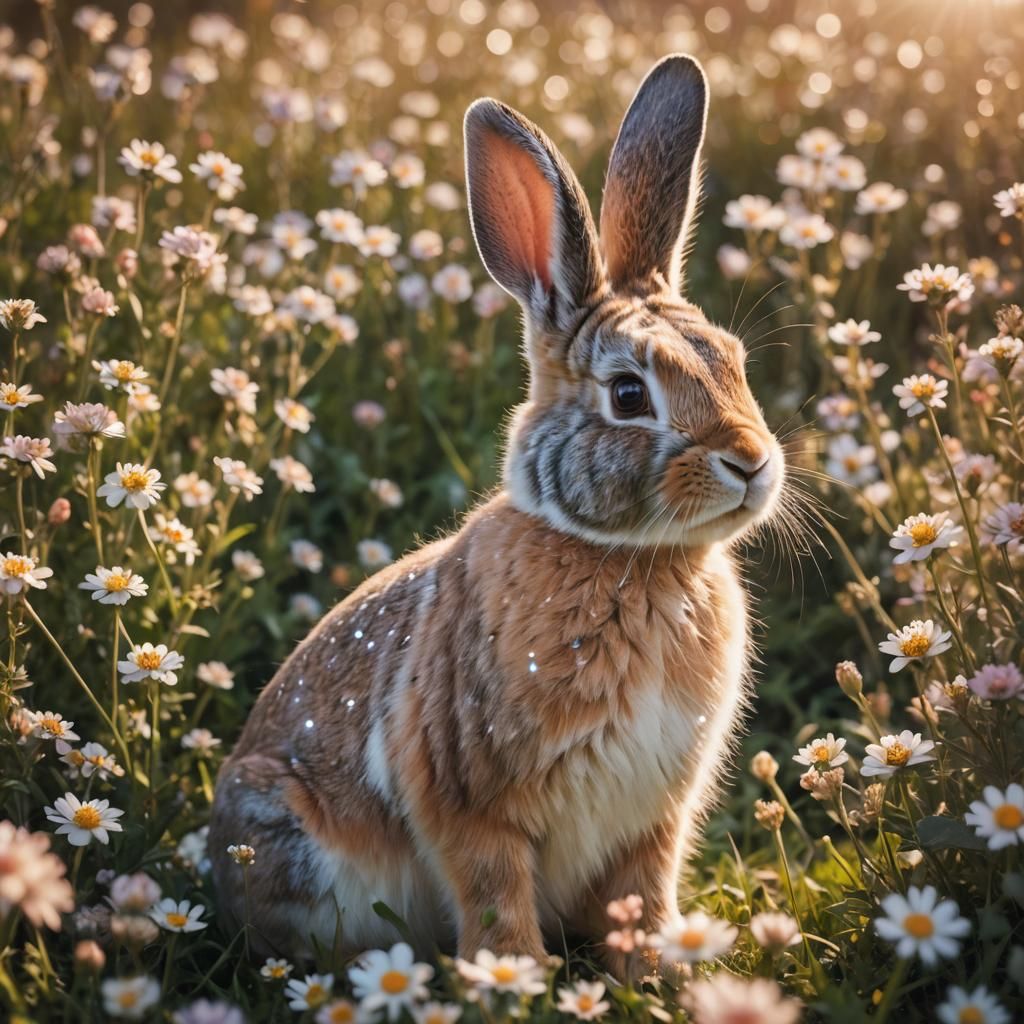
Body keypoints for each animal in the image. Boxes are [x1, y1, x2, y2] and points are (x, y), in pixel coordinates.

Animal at [209, 53, 784, 972]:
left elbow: (641, 895)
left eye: (731, 361)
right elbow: (493, 892)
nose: (754, 463)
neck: (633, 558)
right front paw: (517, 977)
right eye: (630, 395)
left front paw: (657, 971)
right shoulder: (472, 798)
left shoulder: (652, 817)